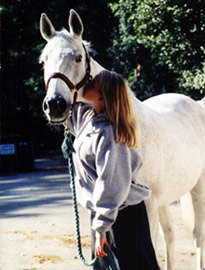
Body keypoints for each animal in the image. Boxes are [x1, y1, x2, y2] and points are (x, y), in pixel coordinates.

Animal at [39, 9, 204, 268]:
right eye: (44, 61)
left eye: (78, 58)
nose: (55, 105)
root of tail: (196, 104)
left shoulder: (148, 205)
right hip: (165, 200)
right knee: (170, 235)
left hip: (197, 189)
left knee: (197, 237)